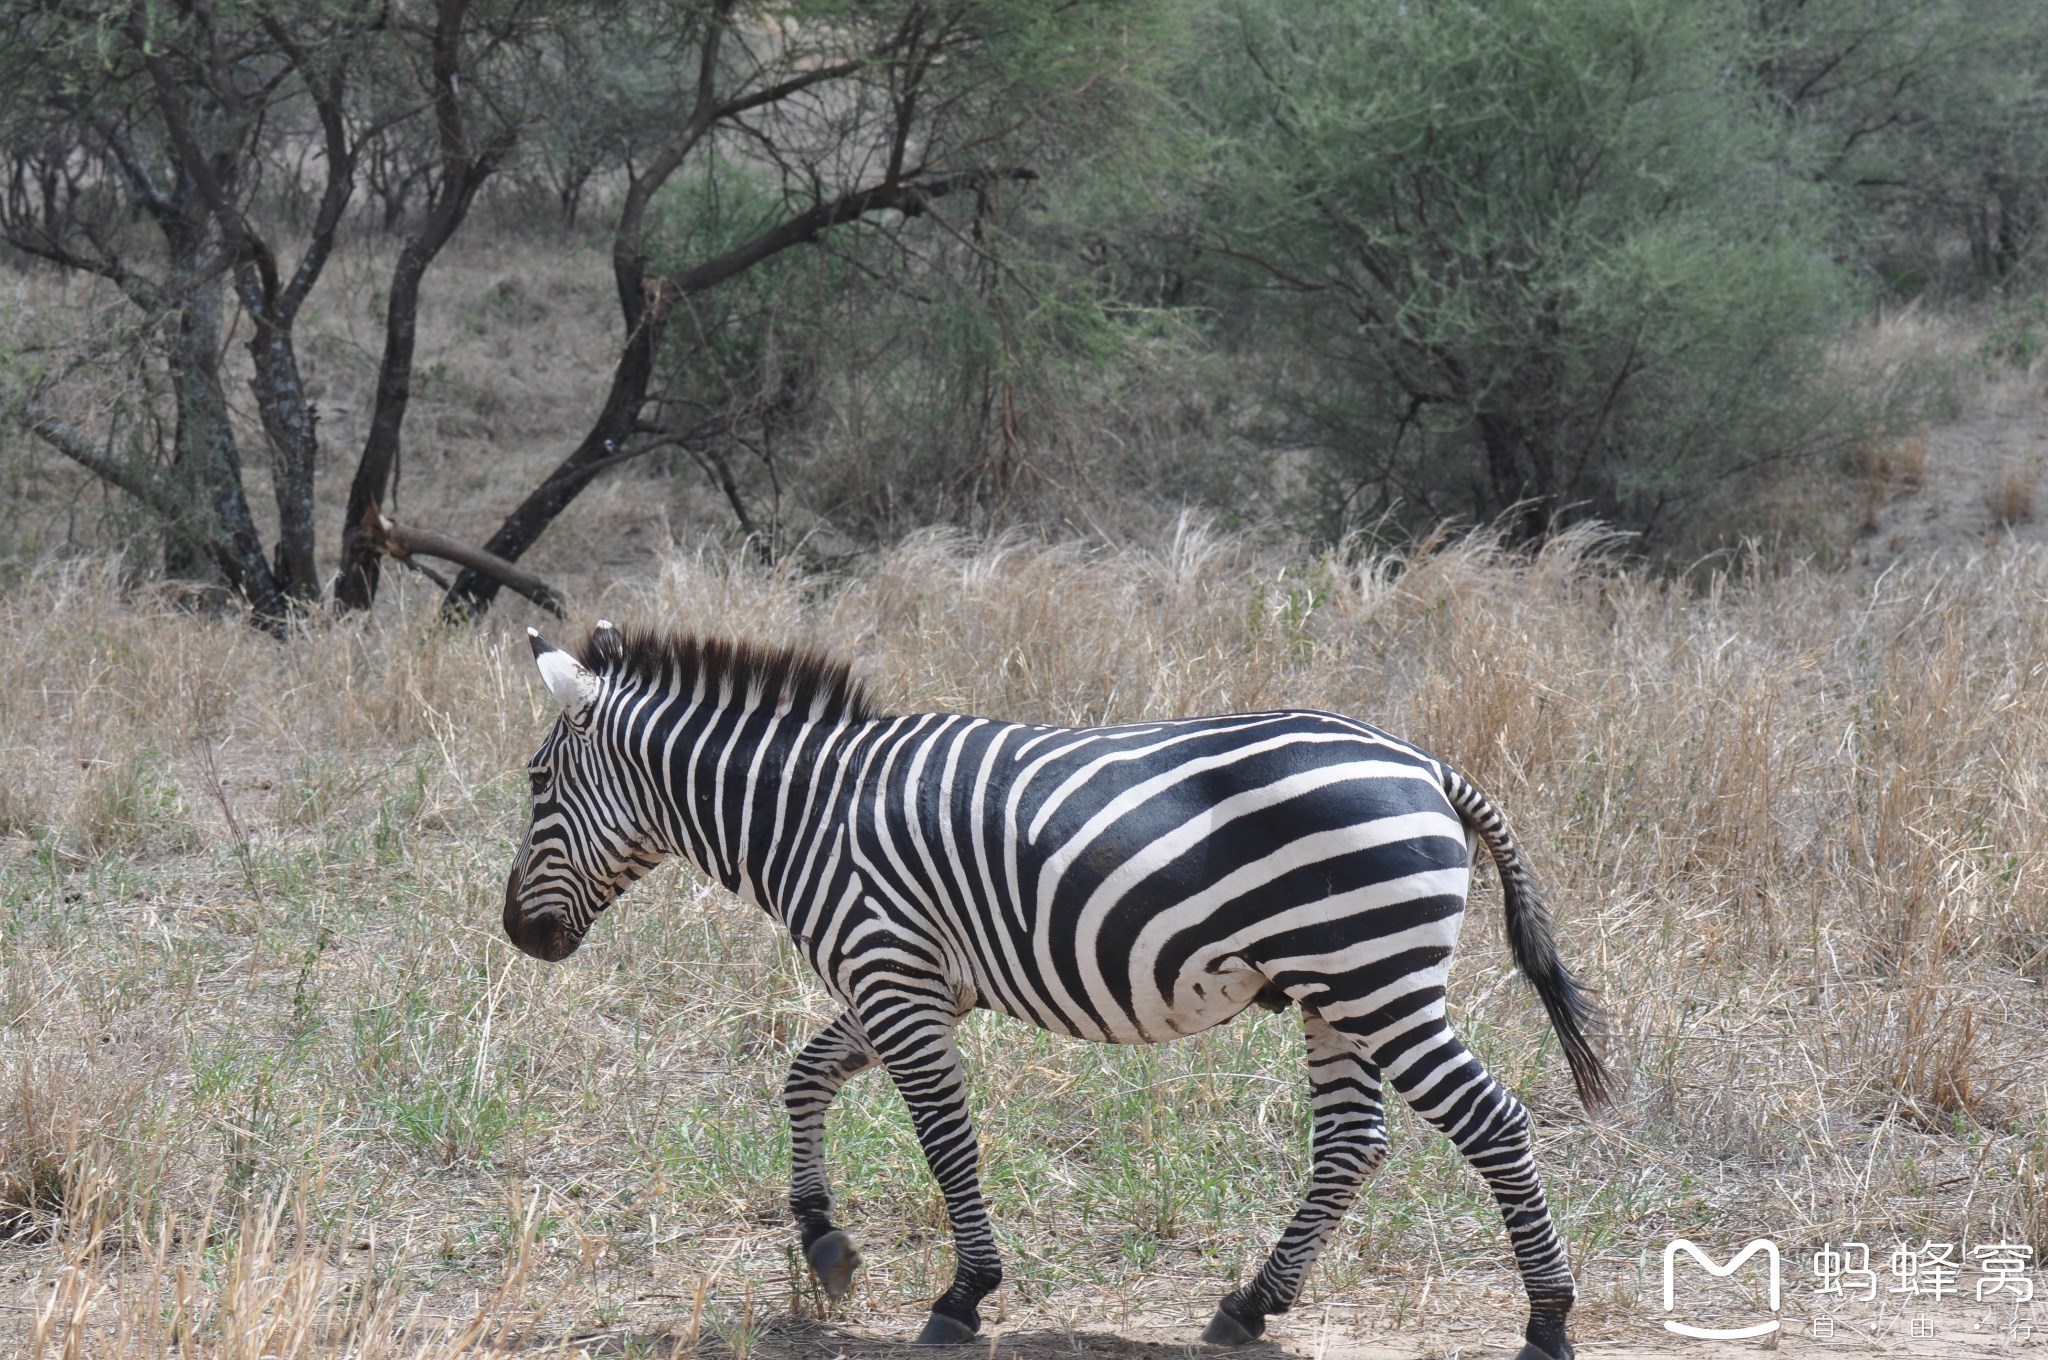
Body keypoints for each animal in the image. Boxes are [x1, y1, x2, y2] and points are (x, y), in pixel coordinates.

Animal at [503, 622, 1605, 1351]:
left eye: (535, 784)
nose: (519, 933)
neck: (808, 811)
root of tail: (1426, 765)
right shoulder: (909, 979)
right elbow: (804, 1075)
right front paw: (823, 1241)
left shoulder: (891, 972)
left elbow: (944, 1139)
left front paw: (962, 1295)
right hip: (1335, 989)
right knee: (1351, 1144)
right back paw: (1247, 1306)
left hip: (1373, 975)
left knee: (1494, 1123)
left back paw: (1547, 1318)